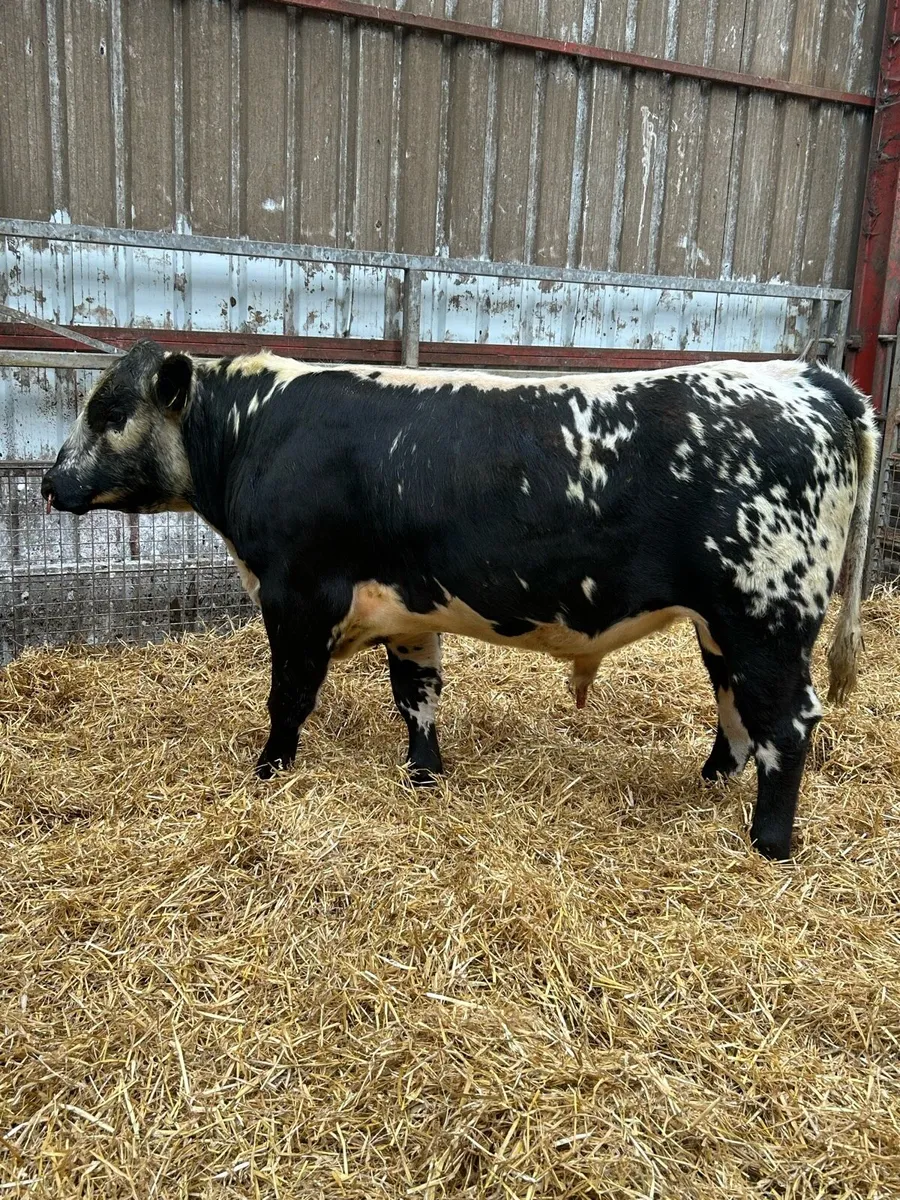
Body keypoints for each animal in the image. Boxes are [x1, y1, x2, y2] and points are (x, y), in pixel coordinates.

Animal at [41, 340, 876, 860]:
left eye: (110, 414)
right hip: (725, 625)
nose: (49, 483)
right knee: (735, 708)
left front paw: (268, 771)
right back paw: (708, 783)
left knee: (786, 722)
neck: (257, 430)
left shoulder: (297, 594)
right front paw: (424, 775)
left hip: (766, 612)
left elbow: (289, 697)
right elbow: (417, 695)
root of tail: (806, 380)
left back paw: (769, 844)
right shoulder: (407, 610)